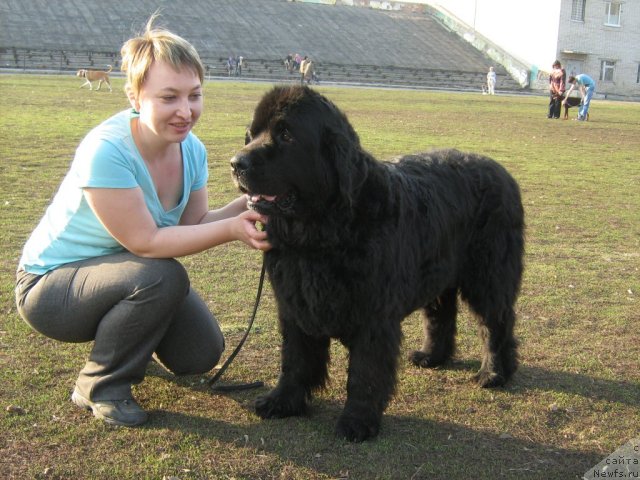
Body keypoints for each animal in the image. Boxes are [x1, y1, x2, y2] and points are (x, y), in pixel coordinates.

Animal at [230, 86, 524, 442]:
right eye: (251, 134)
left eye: (286, 134)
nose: (236, 162)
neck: (320, 233)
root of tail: (503, 173)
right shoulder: (294, 305)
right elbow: (295, 358)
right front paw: (282, 401)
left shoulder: (374, 315)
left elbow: (365, 372)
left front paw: (357, 421)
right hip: (436, 270)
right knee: (441, 314)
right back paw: (432, 356)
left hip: (489, 276)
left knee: (496, 322)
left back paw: (494, 373)